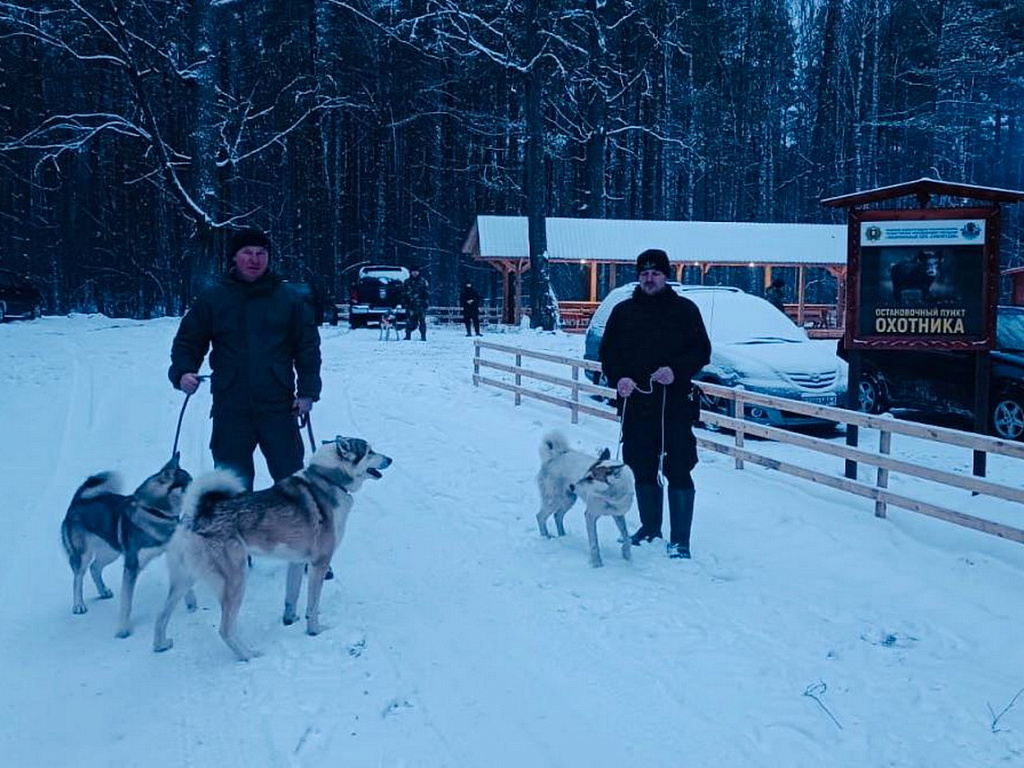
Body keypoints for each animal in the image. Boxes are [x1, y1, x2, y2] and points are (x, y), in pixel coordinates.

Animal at [60, 453, 193, 637]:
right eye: (189, 483)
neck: (155, 512)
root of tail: (78, 501)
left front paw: (191, 602)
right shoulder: (131, 565)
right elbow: (126, 603)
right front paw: (123, 629)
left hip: (111, 552)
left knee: (95, 568)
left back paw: (103, 591)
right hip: (83, 555)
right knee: (78, 578)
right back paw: (78, 605)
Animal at [153, 435, 392, 661]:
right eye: (370, 451)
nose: (390, 459)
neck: (328, 478)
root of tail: (197, 514)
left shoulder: (297, 562)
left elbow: (291, 598)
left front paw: (290, 621)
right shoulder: (319, 564)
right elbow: (312, 606)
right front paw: (314, 631)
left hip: (183, 580)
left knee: (162, 615)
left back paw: (160, 644)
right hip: (236, 579)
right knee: (225, 630)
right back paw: (248, 655)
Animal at [536, 431, 635, 567]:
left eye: (591, 478)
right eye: (585, 473)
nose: (572, 486)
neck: (611, 497)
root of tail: (555, 456)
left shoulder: (618, 515)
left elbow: (627, 537)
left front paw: (627, 554)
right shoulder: (590, 515)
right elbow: (594, 544)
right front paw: (597, 563)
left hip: (569, 500)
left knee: (557, 516)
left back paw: (563, 536)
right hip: (556, 499)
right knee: (540, 516)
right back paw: (545, 537)